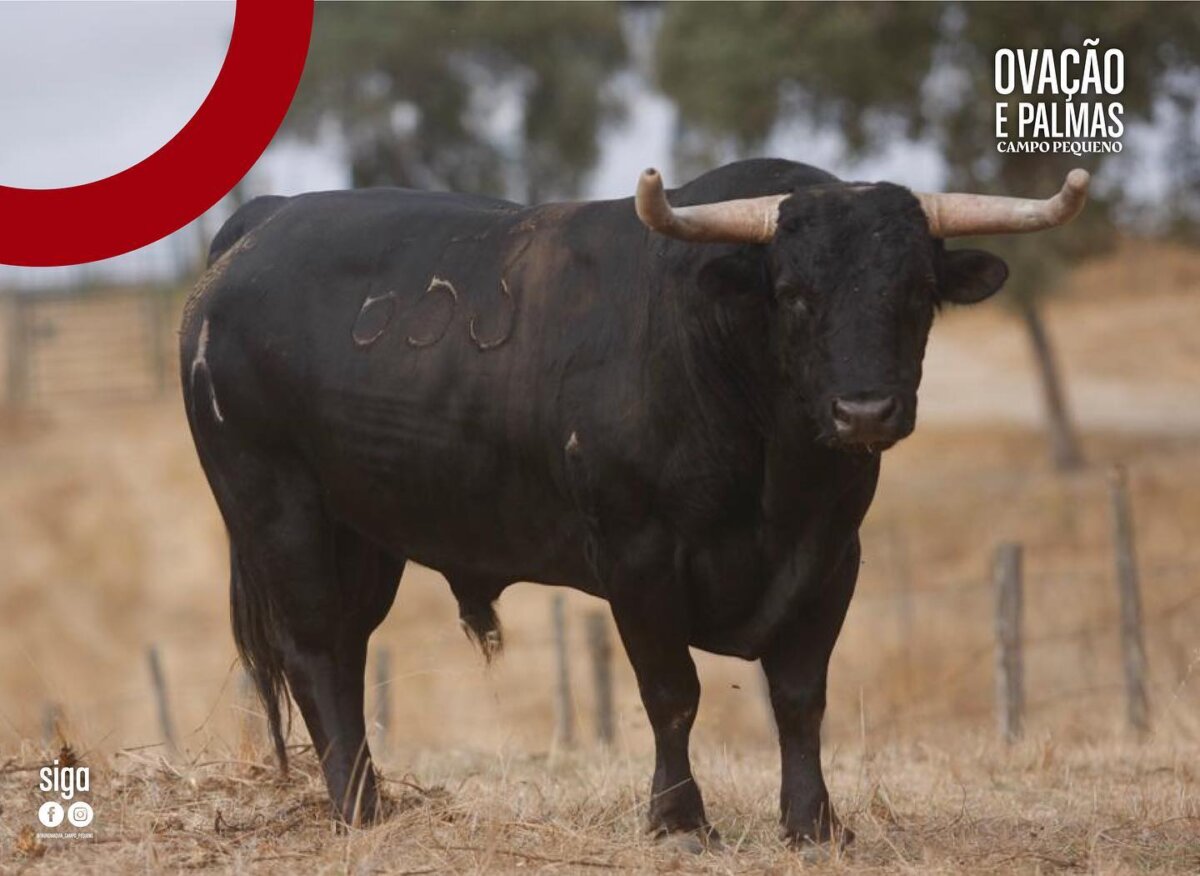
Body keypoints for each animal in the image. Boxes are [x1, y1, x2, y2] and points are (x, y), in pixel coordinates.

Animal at [180, 158, 1087, 849]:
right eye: (794, 292)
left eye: (918, 291)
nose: (864, 412)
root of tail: (261, 224)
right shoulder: (638, 557)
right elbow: (672, 693)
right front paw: (680, 822)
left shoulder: (833, 557)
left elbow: (800, 697)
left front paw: (815, 824)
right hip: (278, 509)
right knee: (314, 652)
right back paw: (359, 811)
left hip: (365, 533)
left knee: (347, 650)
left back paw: (376, 800)